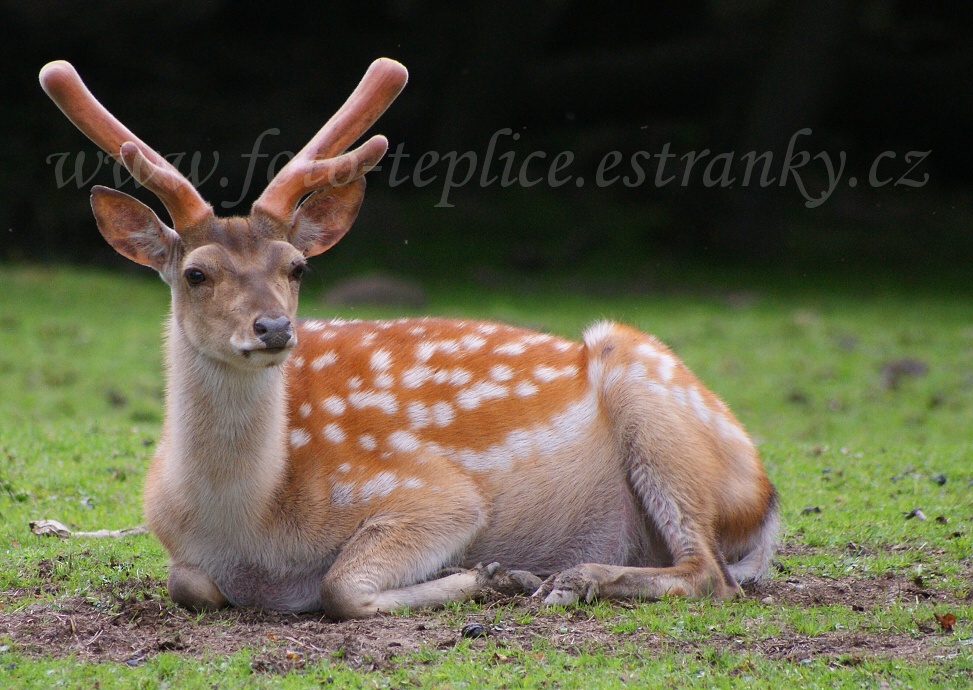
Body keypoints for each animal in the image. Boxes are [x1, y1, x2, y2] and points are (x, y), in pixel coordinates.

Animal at [41, 57, 780, 620]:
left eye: (297, 267)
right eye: (196, 273)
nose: (274, 326)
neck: (249, 529)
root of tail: (764, 499)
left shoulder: (434, 492)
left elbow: (340, 587)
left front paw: (485, 576)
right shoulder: (177, 548)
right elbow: (189, 584)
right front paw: (494, 576)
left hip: (655, 401)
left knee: (709, 573)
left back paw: (568, 580)